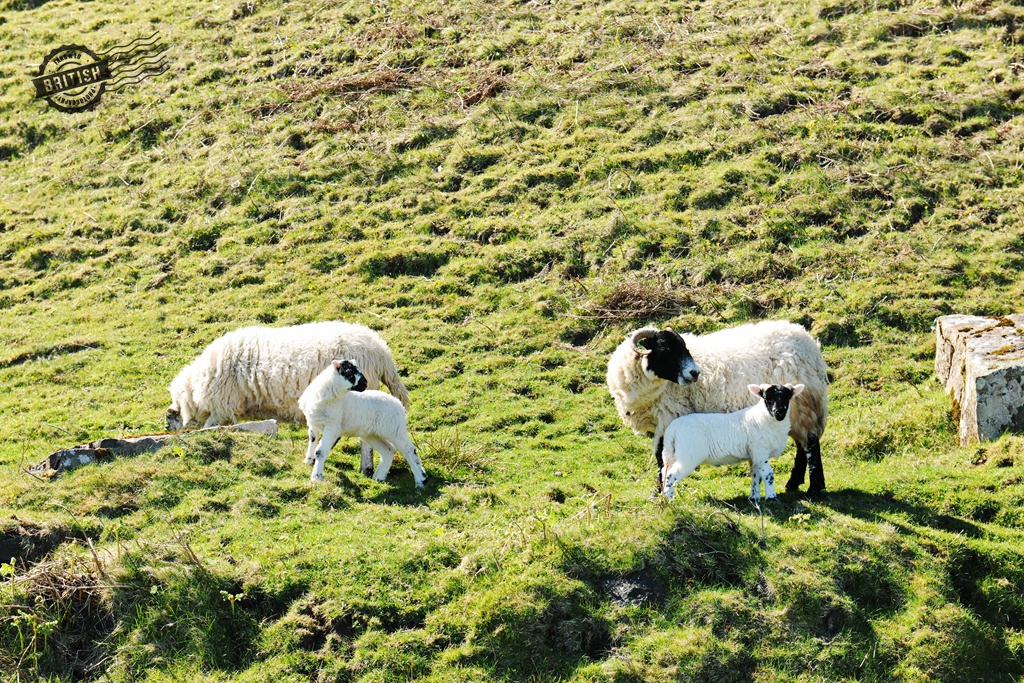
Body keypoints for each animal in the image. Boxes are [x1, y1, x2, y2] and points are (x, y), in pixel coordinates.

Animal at [663, 385, 806, 501]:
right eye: (767, 398)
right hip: (688, 455)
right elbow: (768, 474)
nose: (779, 412)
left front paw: (754, 498)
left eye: (787, 397)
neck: (764, 418)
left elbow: (756, 475)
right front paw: (771, 497)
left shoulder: (754, 455)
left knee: (665, 472)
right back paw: (670, 500)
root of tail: (672, 429)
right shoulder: (760, 451)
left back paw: (663, 498)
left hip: (672, 454)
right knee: (671, 475)